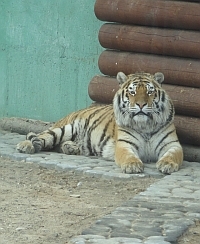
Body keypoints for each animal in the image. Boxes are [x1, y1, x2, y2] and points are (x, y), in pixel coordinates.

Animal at [16, 71, 183, 174]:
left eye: (149, 92)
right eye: (132, 92)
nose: (141, 105)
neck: (145, 125)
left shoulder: (172, 144)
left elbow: (172, 154)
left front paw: (167, 164)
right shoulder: (125, 144)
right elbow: (128, 156)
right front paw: (132, 165)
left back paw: (71, 148)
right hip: (64, 129)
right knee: (42, 137)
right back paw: (25, 146)